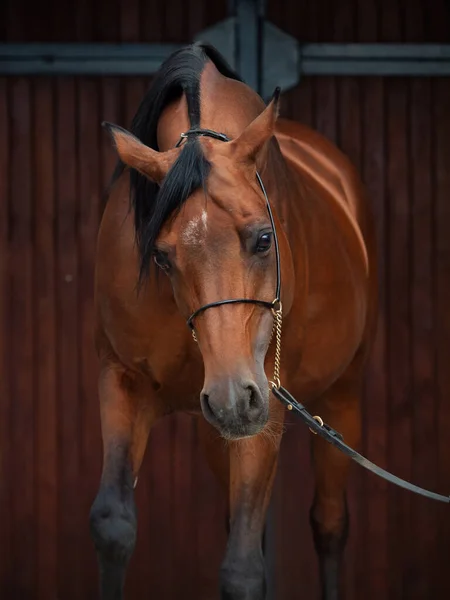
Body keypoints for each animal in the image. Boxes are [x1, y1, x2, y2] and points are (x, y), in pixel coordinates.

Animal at [89, 43, 378, 600]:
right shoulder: (123, 381)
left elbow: (243, 568)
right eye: (161, 257)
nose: (232, 397)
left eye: (265, 238)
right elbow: (113, 526)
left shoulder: (267, 404)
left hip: (341, 394)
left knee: (330, 523)